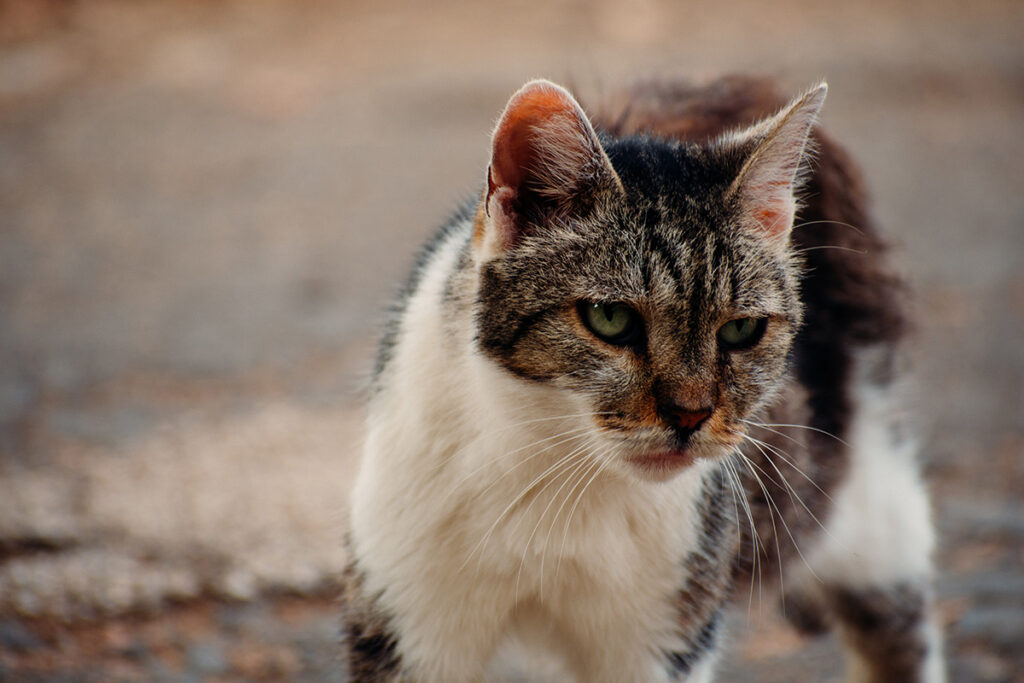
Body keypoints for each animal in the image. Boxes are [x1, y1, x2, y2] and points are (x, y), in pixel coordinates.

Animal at [342, 76, 942, 683]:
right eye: (611, 318)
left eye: (741, 329)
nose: (690, 414)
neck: (550, 470)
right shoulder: (407, 619)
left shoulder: (665, 638)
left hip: (873, 502)